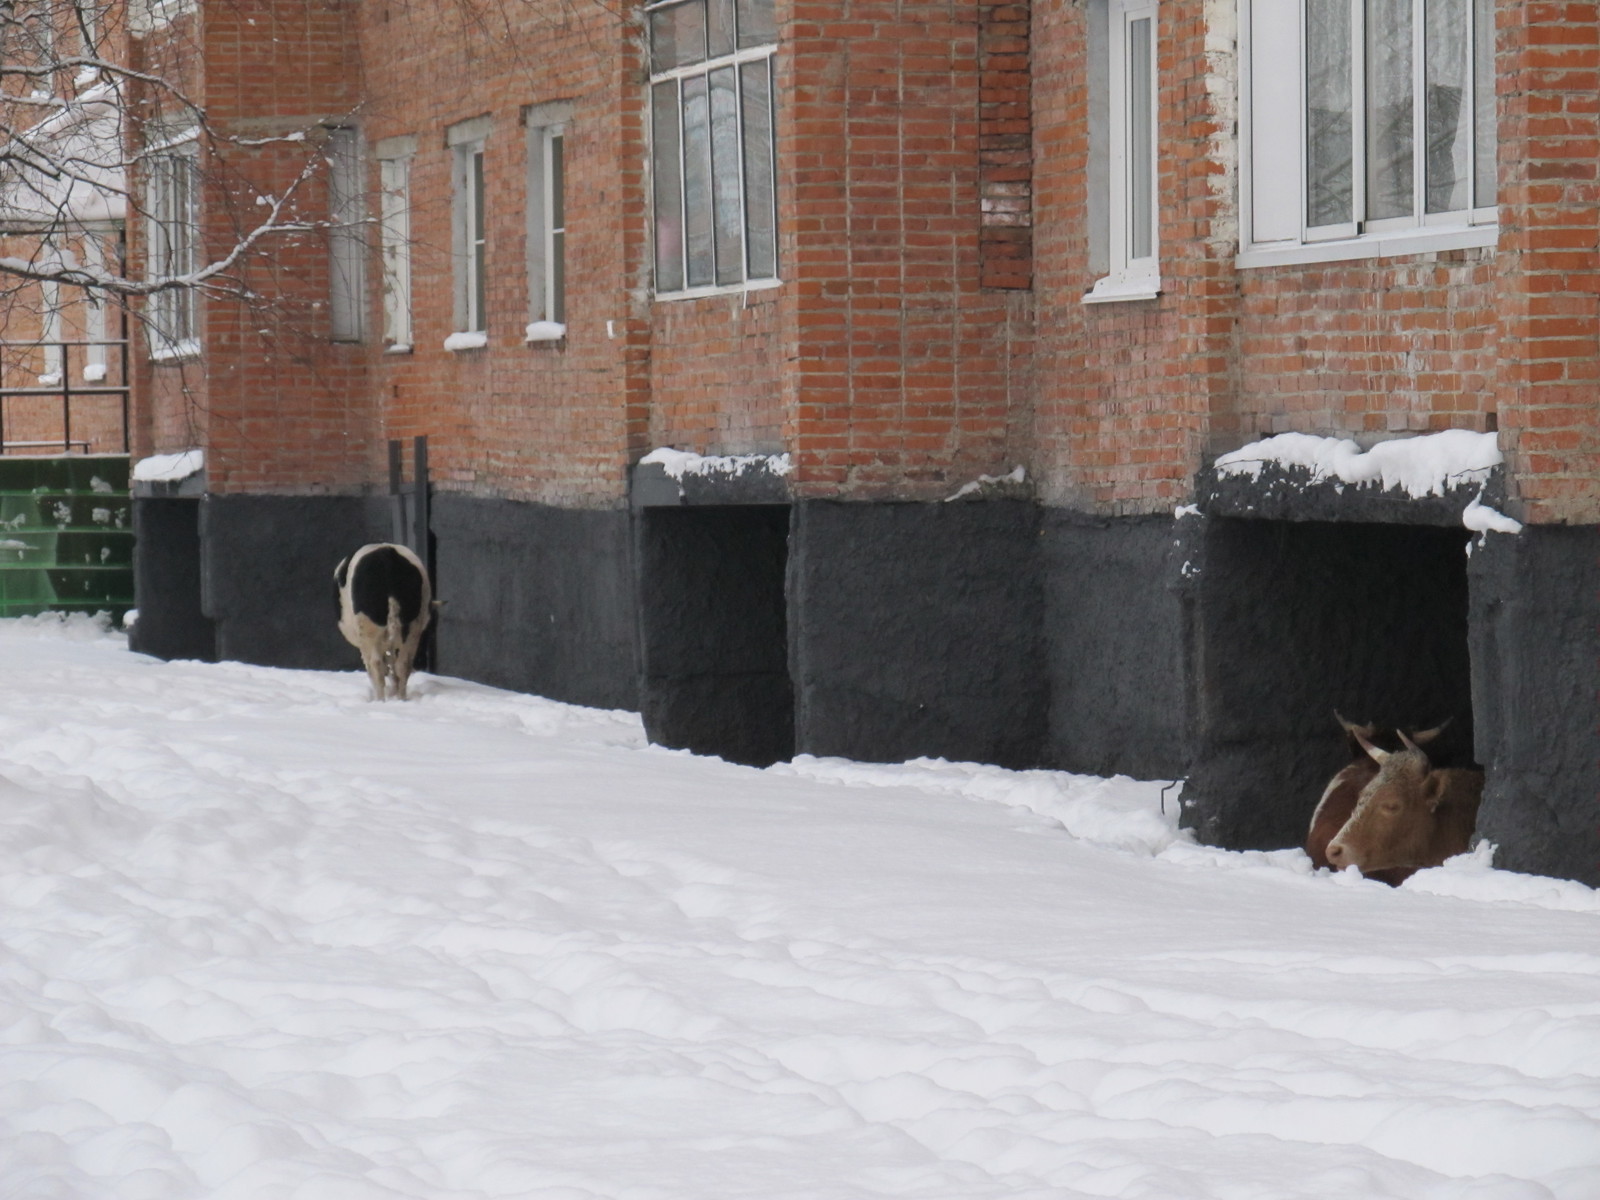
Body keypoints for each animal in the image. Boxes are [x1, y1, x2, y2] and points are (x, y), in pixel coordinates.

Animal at [332, 544, 432, 700]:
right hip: (412, 626)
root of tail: (386, 553)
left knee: (377, 665)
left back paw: (380, 700)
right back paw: (401, 699)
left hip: (368, 626)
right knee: (403, 664)